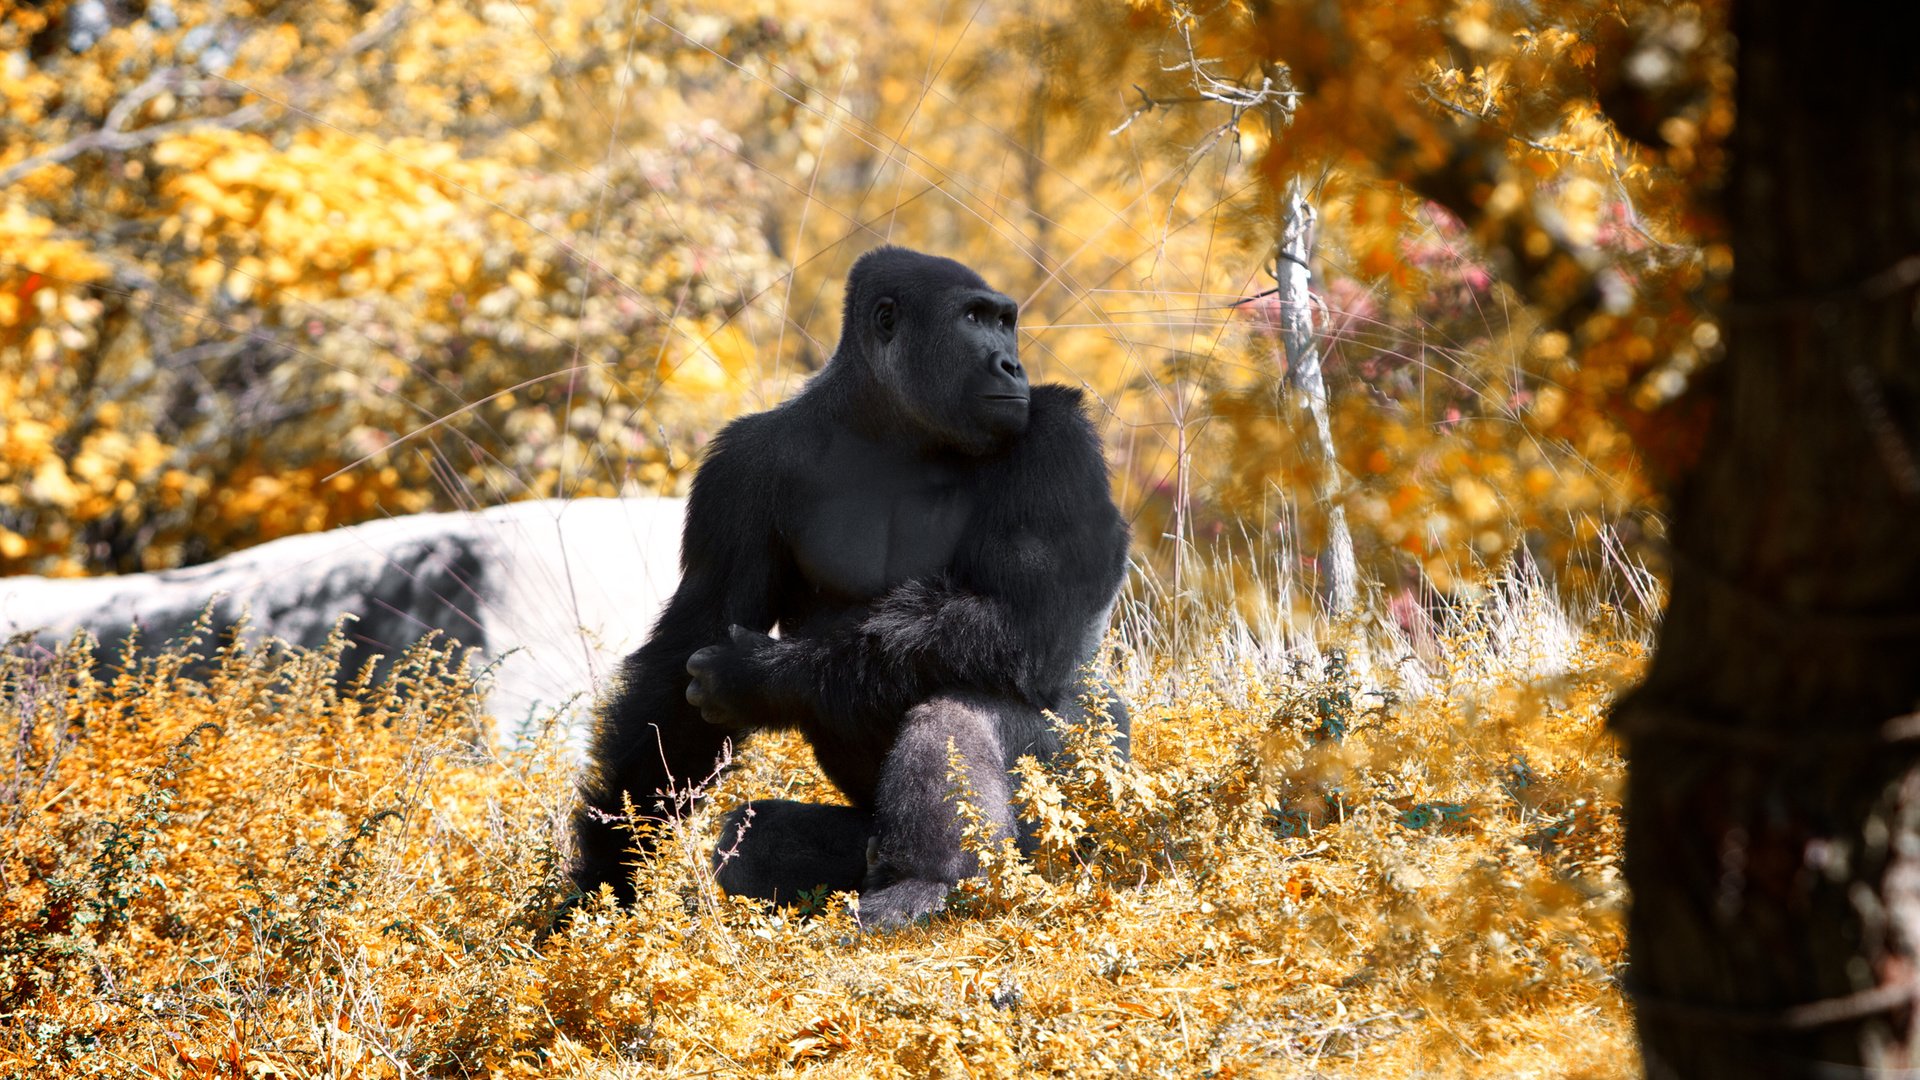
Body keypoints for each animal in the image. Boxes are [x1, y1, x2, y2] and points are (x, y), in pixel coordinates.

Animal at [576, 244, 1128, 926]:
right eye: (975, 319)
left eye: (1006, 322)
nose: (1012, 364)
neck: (885, 423)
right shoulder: (739, 467)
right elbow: (681, 662)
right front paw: (607, 871)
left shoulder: (1056, 435)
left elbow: (1032, 621)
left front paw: (759, 677)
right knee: (753, 843)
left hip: (1092, 809)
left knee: (962, 703)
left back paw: (928, 880)